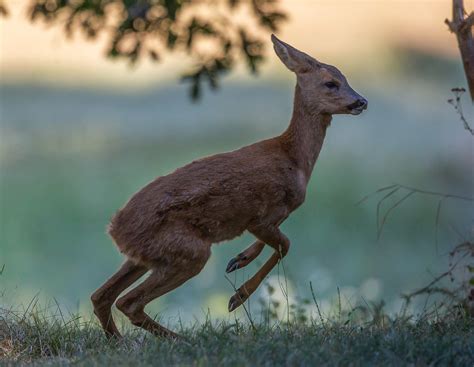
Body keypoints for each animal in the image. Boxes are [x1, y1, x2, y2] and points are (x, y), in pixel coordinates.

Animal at [91, 34, 366, 340]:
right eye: (331, 83)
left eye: (345, 77)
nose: (361, 101)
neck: (295, 160)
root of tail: (115, 230)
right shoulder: (260, 215)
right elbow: (285, 245)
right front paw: (237, 297)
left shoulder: (270, 217)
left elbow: (274, 243)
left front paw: (239, 259)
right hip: (187, 251)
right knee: (128, 302)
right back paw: (180, 338)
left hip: (145, 257)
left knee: (101, 296)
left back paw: (119, 339)